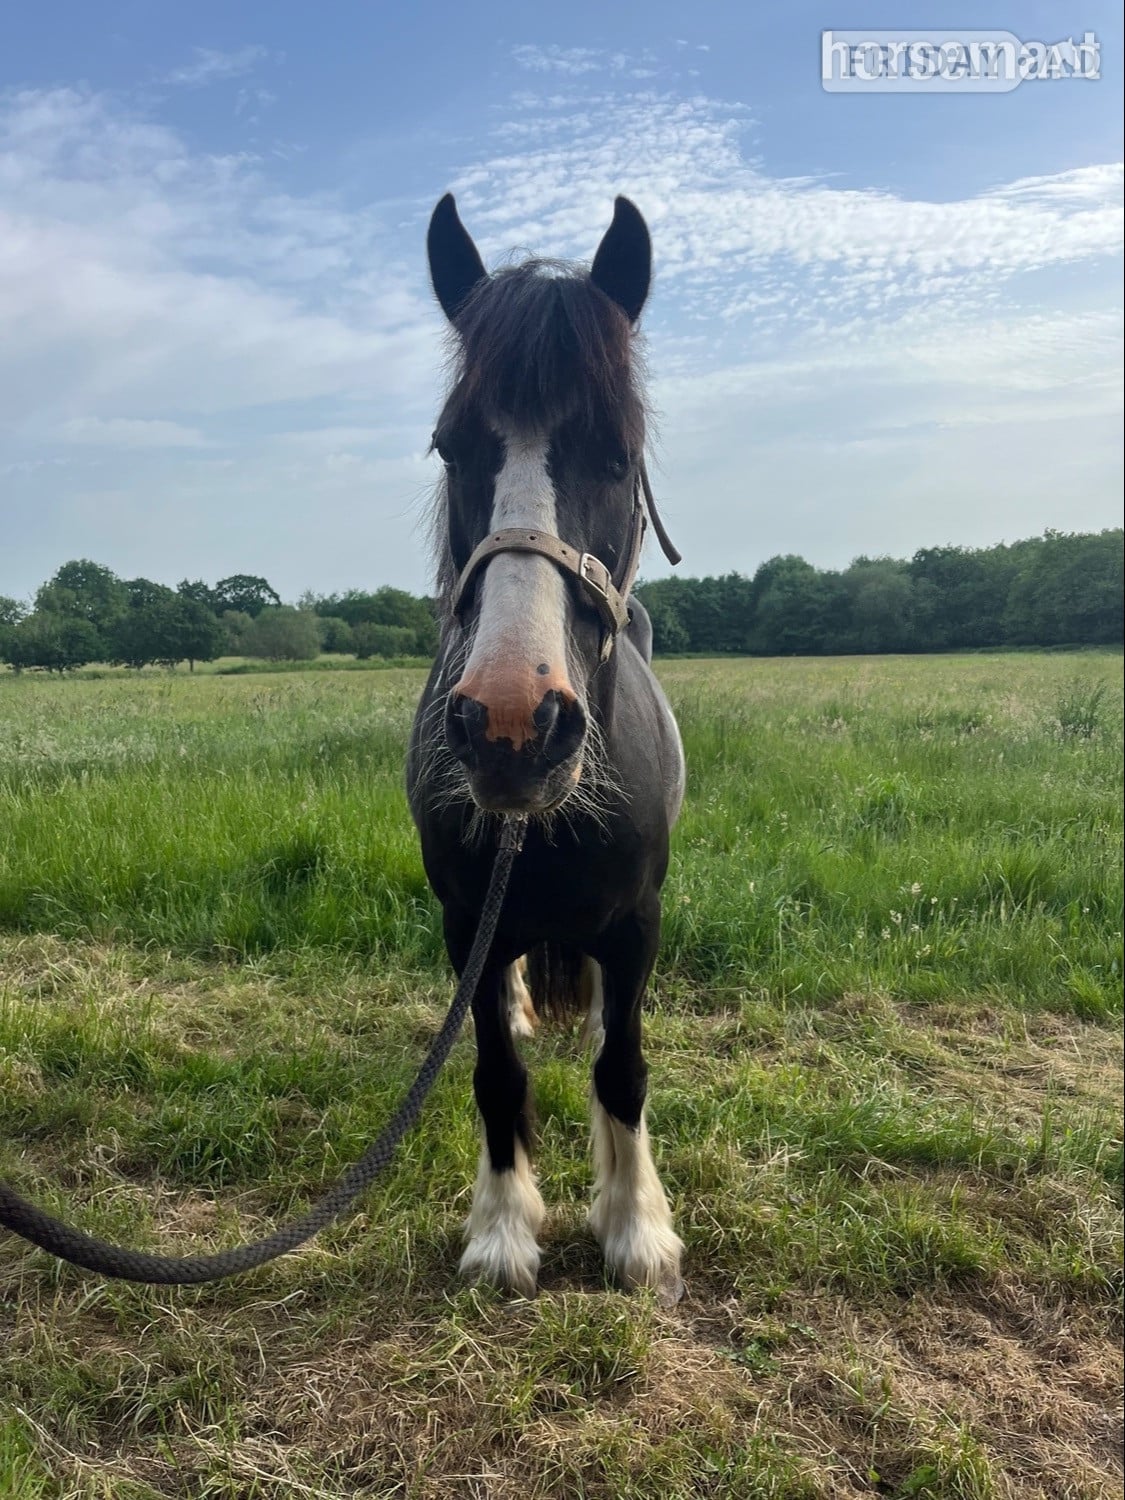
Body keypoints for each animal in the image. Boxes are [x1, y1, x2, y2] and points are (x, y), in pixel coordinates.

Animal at [407, 193, 686, 1304]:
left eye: (615, 451)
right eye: (451, 446)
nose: (512, 724)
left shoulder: (638, 921)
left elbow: (623, 1068)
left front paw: (634, 1228)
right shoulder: (464, 926)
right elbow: (493, 1070)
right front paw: (502, 1230)